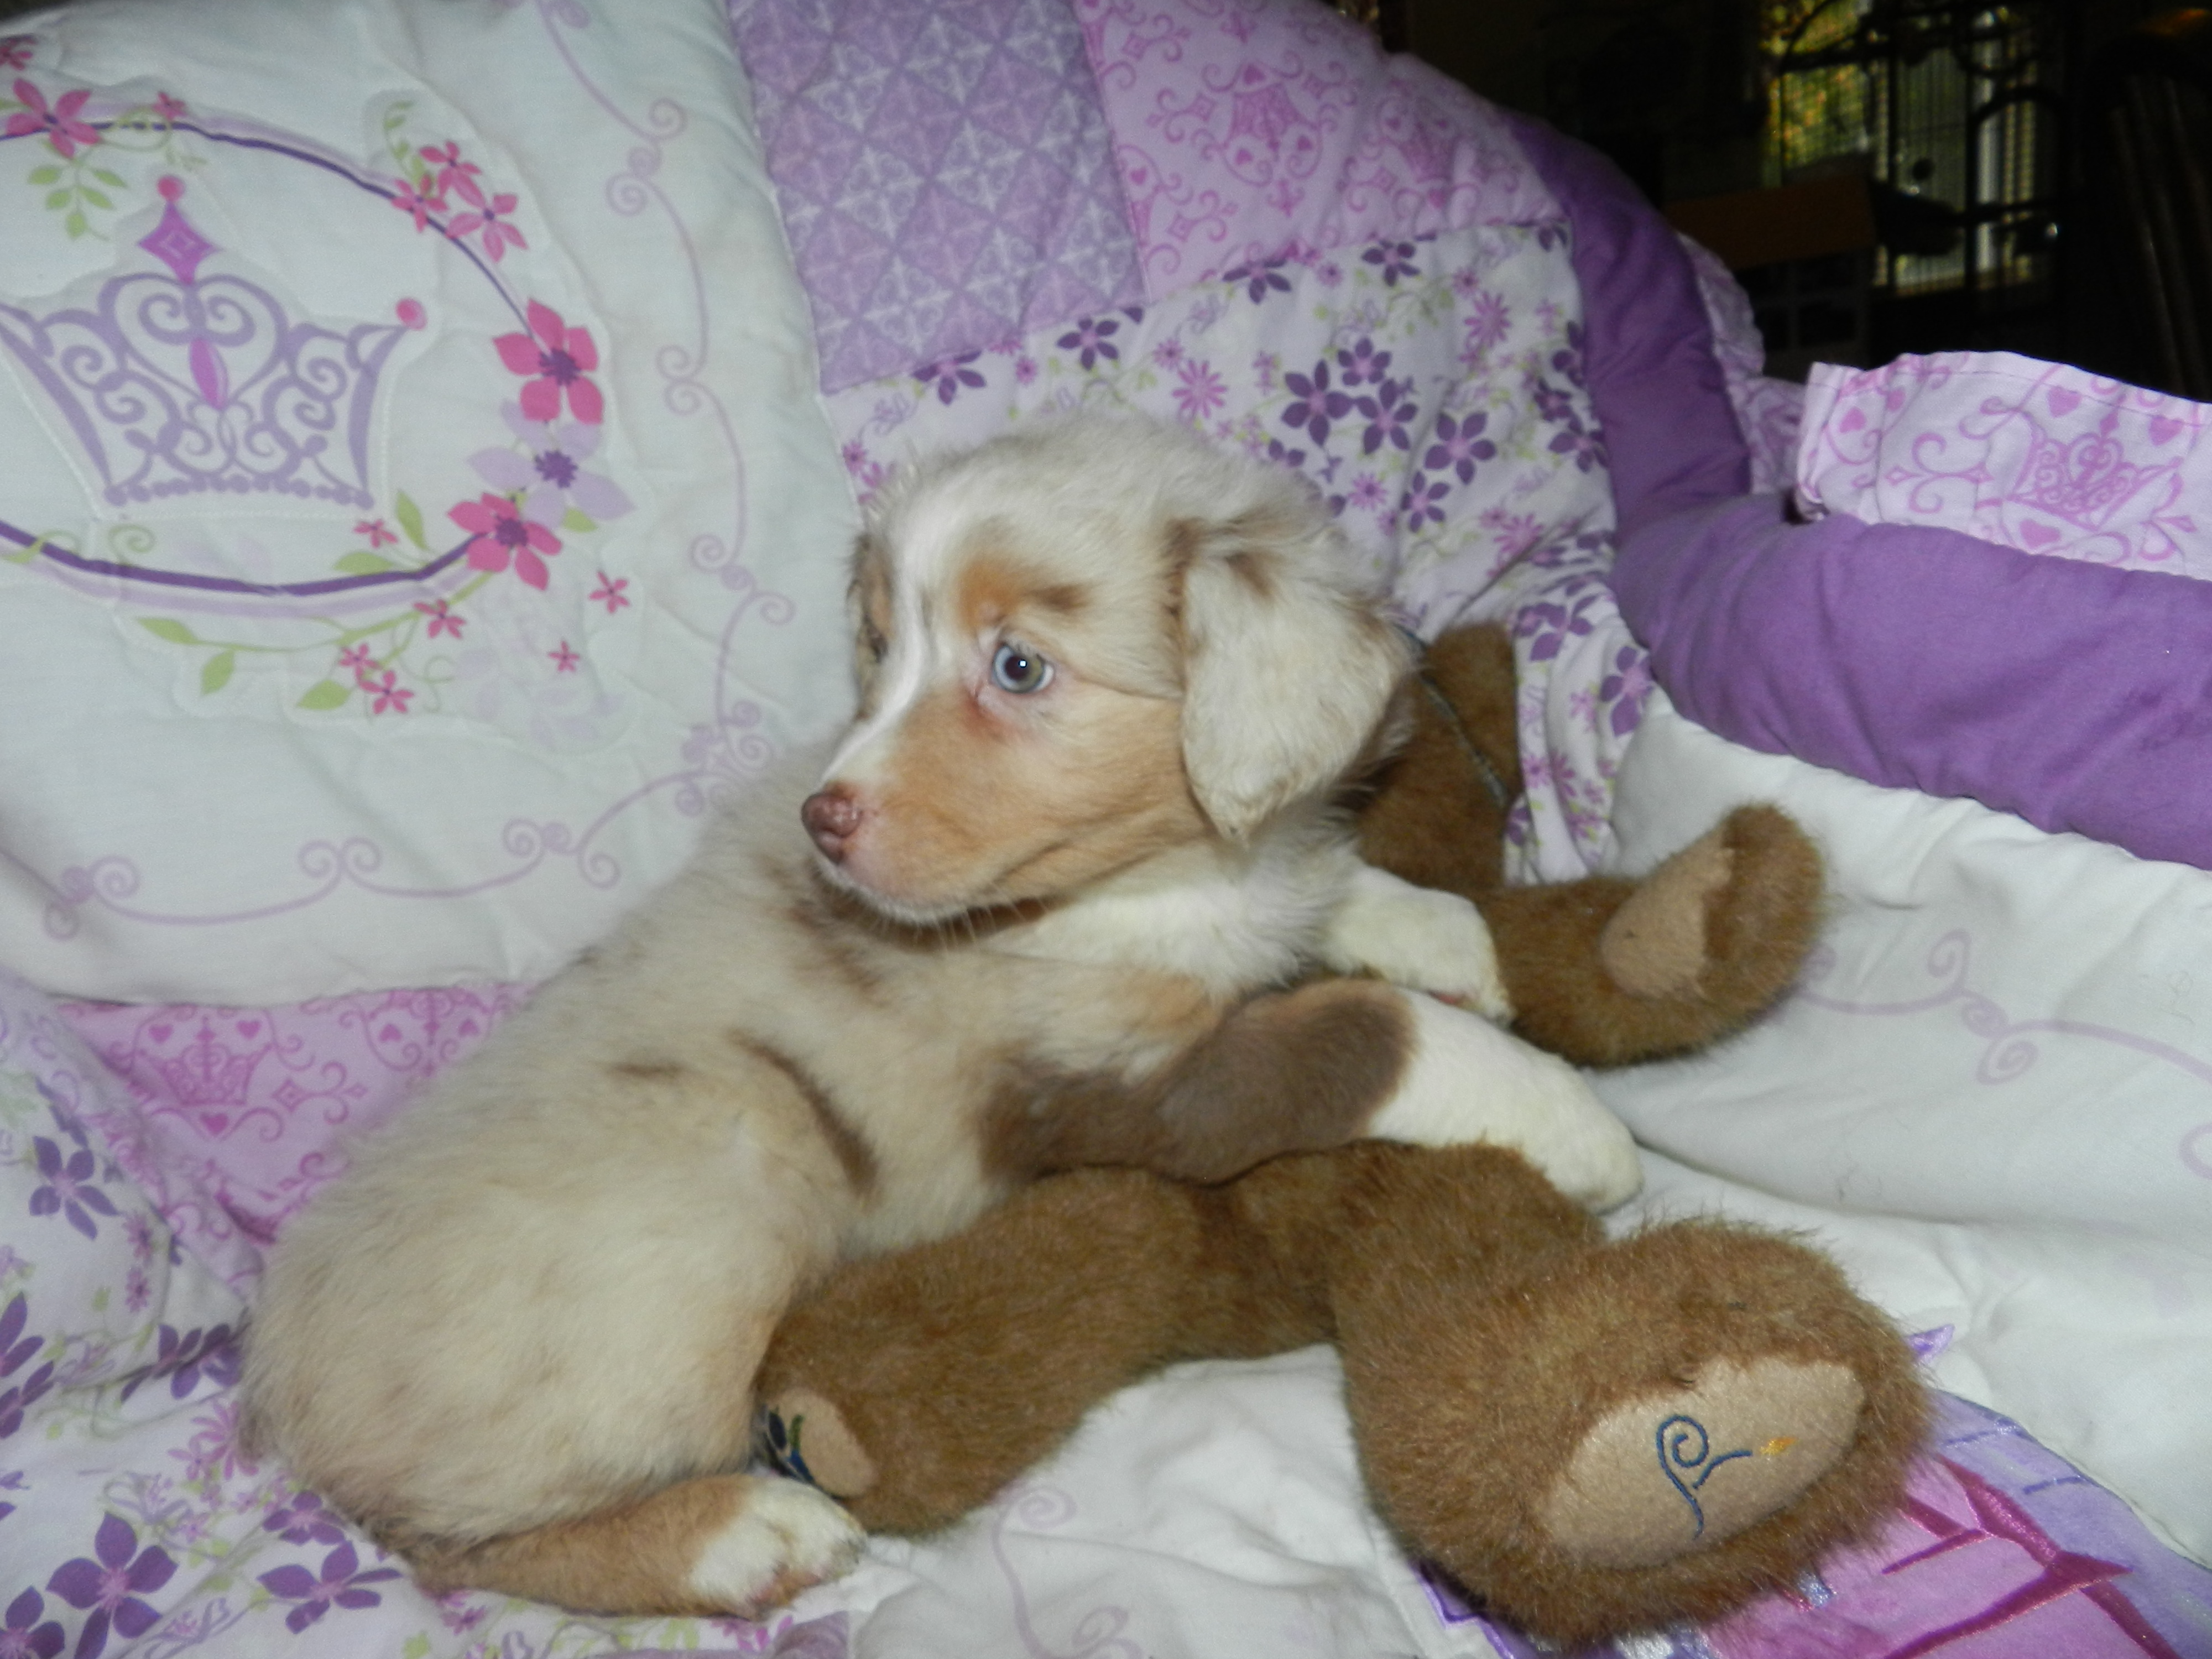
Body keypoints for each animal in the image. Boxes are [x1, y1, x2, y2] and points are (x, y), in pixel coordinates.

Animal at [242, 414, 1641, 1617]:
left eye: (1016, 667)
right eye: (879, 647)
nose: (825, 819)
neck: (1145, 883)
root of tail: (285, 1379)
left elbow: (1332, 896)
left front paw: (1442, 933)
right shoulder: (1131, 1087)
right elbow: (1359, 1034)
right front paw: (1565, 1117)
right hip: (689, 1262)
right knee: (460, 1548)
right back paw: (740, 1533)